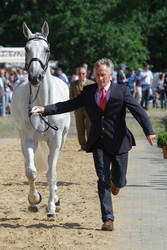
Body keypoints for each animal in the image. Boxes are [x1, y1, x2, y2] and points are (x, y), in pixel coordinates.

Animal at [10, 21, 70, 217]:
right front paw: (34, 199)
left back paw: (56, 199)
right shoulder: (28, 139)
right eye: (26, 48)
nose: (35, 77)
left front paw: (51, 207)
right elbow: (31, 172)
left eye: (47, 49)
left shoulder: (56, 140)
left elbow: (51, 174)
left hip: (61, 139)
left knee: (53, 166)